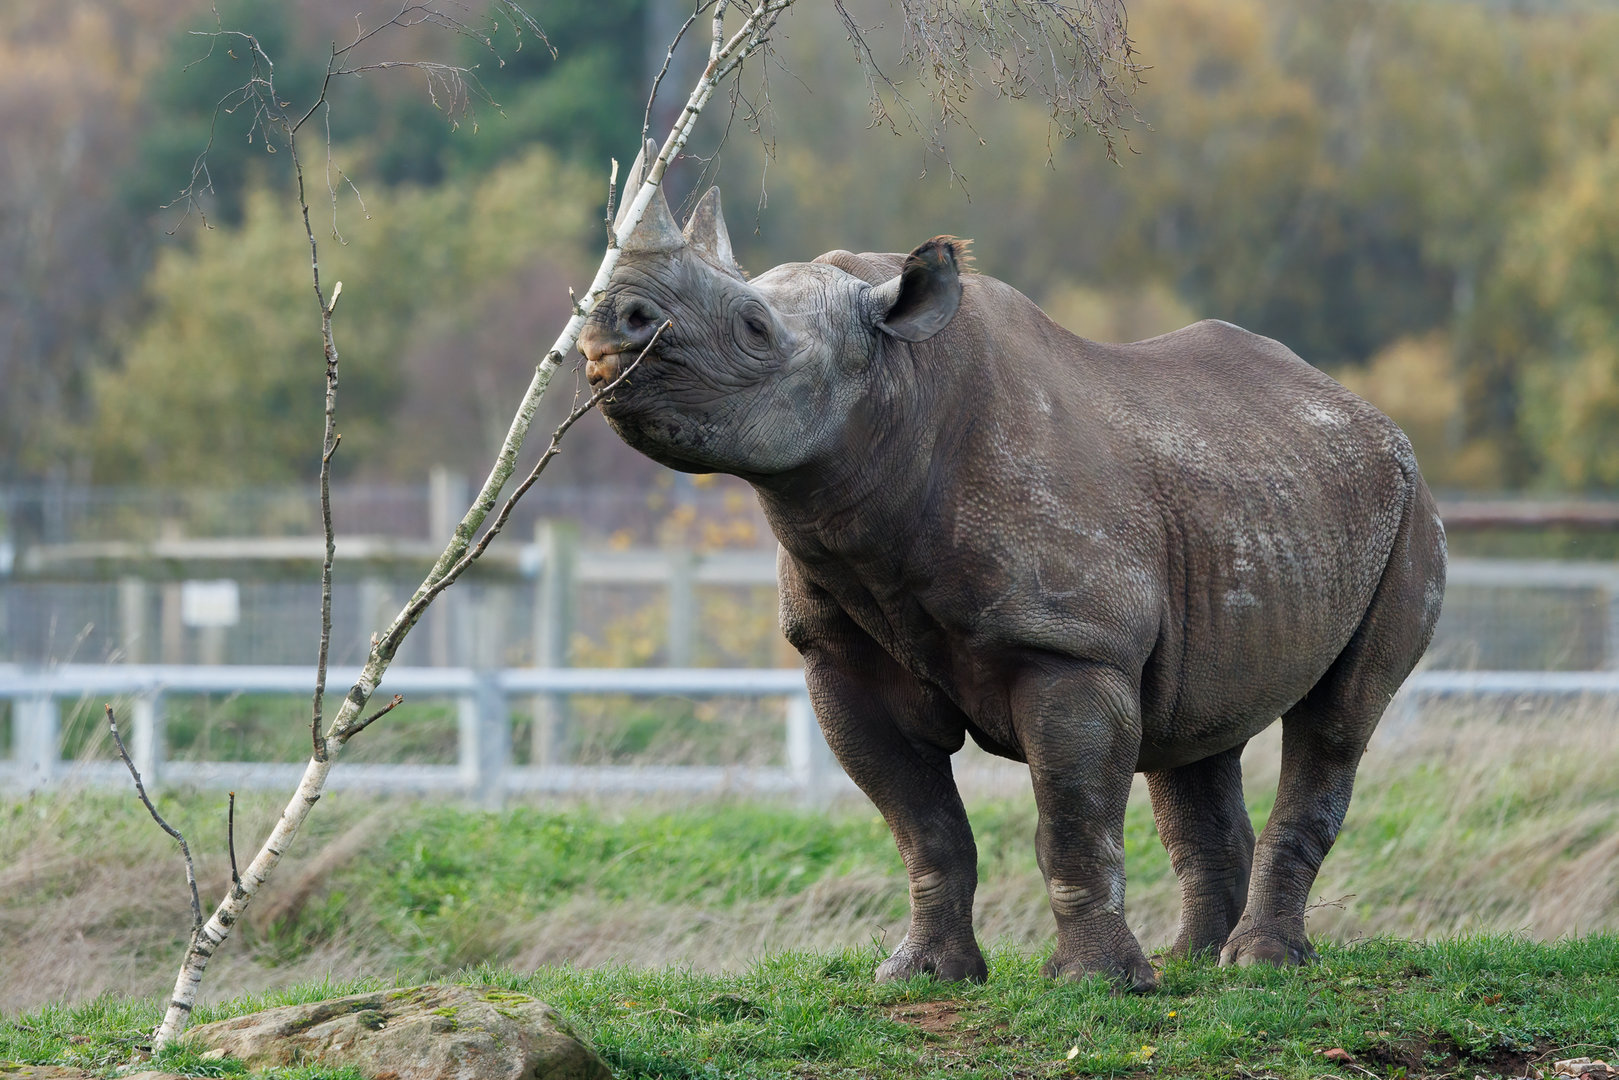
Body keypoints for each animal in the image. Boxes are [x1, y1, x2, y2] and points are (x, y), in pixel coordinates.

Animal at [576, 149, 1447, 991]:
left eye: (754, 328)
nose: (611, 324)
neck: (897, 386)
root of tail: (1367, 413)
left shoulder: (1070, 645)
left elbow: (1070, 820)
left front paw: (1096, 984)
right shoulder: (837, 653)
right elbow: (922, 827)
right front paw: (922, 975)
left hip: (1408, 513)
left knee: (1335, 722)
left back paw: (1258, 965)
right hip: (1256, 497)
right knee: (1198, 729)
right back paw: (1191, 963)